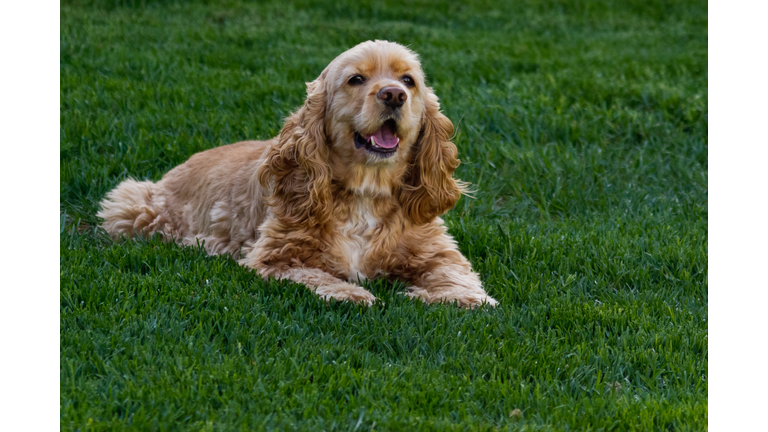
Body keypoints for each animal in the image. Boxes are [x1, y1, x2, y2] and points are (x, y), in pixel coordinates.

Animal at [97, 40, 498, 308]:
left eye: (409, 80)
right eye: (356, 79)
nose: (393, 95)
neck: (366, 190)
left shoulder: (436, 250)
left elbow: (456, 275)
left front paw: (461, 298)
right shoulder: (276, 255)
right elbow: (315, 274)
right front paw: (353, 293)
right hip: (135, 208)